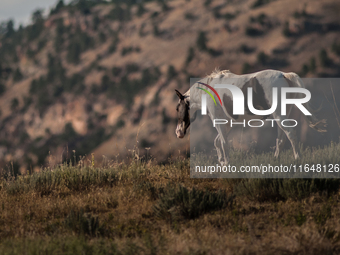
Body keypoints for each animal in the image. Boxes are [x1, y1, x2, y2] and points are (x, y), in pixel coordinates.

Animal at [175, 68, 326, 166]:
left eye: (177, 108)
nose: (178, 133)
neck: (208, 92)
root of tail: (284, 75)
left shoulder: (218, 121)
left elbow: (223, 143)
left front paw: (227, 164)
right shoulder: (228, 123)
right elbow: (217, 141)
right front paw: (222, 162)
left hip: (279, 116)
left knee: (290, 133)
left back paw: (297, 158)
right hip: (283, 114)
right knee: (281, 138)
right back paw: (275, 159)